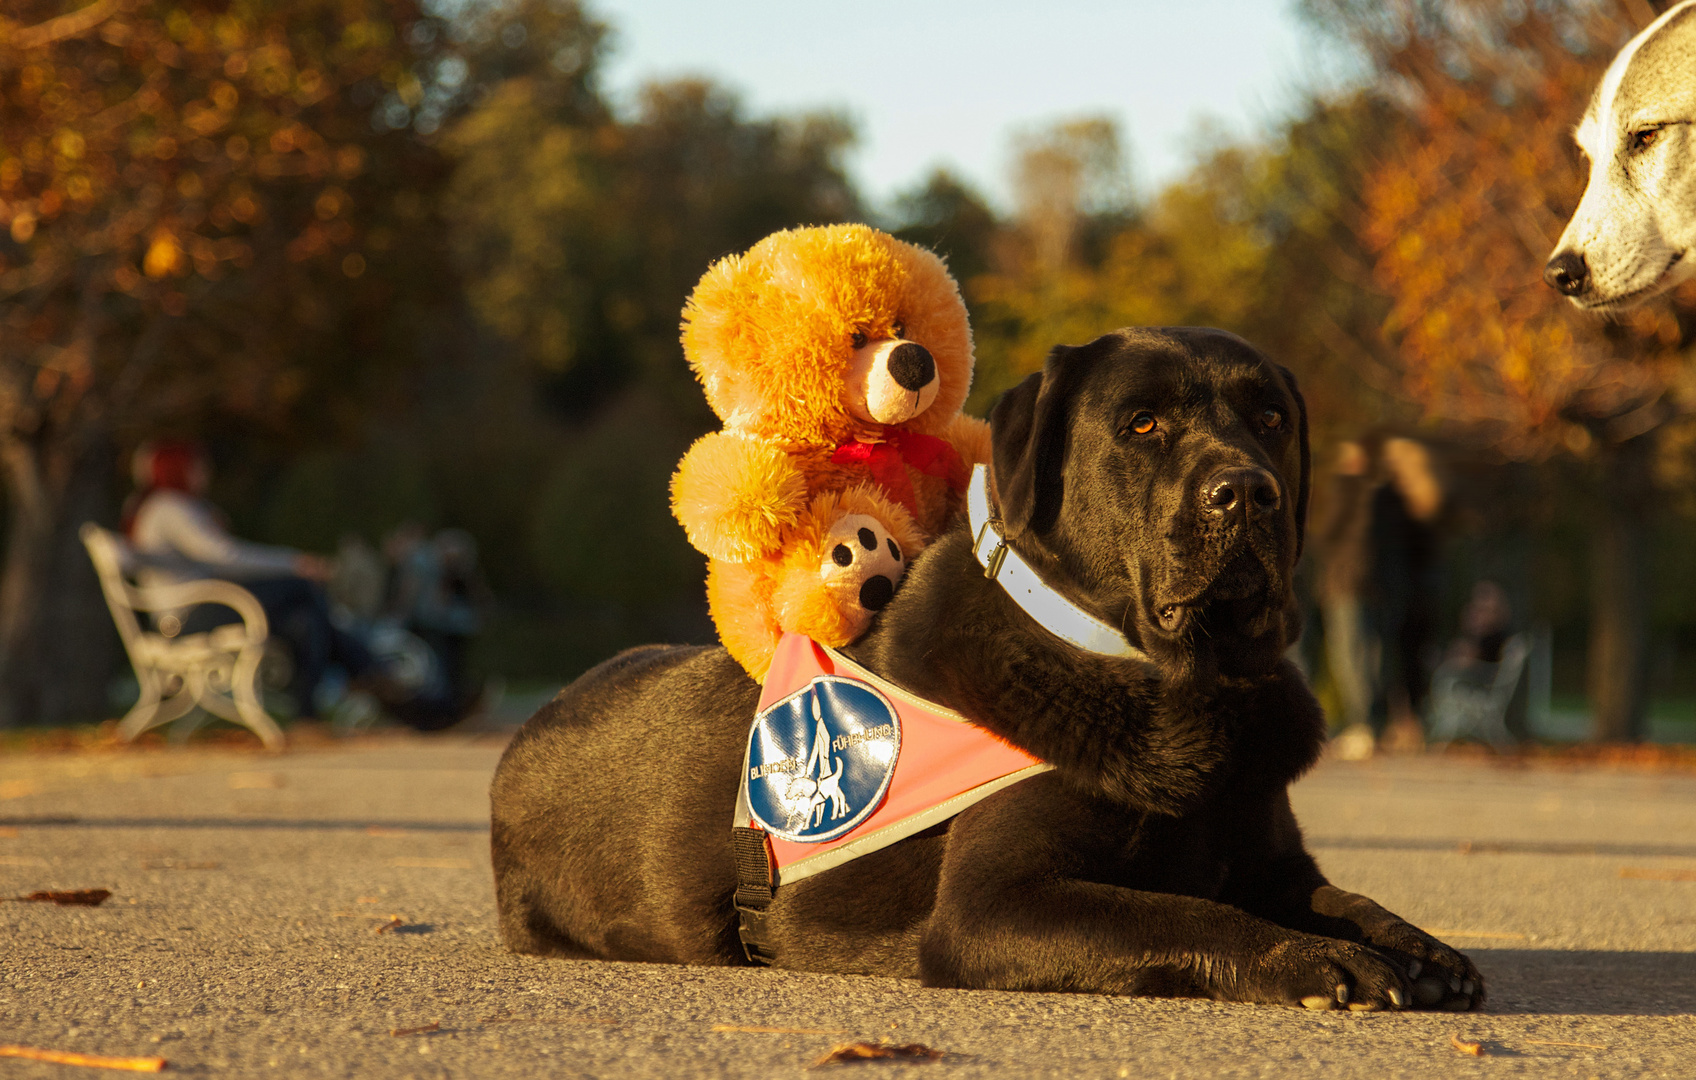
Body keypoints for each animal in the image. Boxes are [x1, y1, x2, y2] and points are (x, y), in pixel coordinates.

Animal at [491, 327, 1485, 1010]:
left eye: (1272, 420)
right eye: (1143, 424)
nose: (1246, 490)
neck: (1179, 683)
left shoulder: (1267, 855)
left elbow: (1342, 894)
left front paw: (1417, 947)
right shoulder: (993, 906)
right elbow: (1186, 912)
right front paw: (1313, 960)